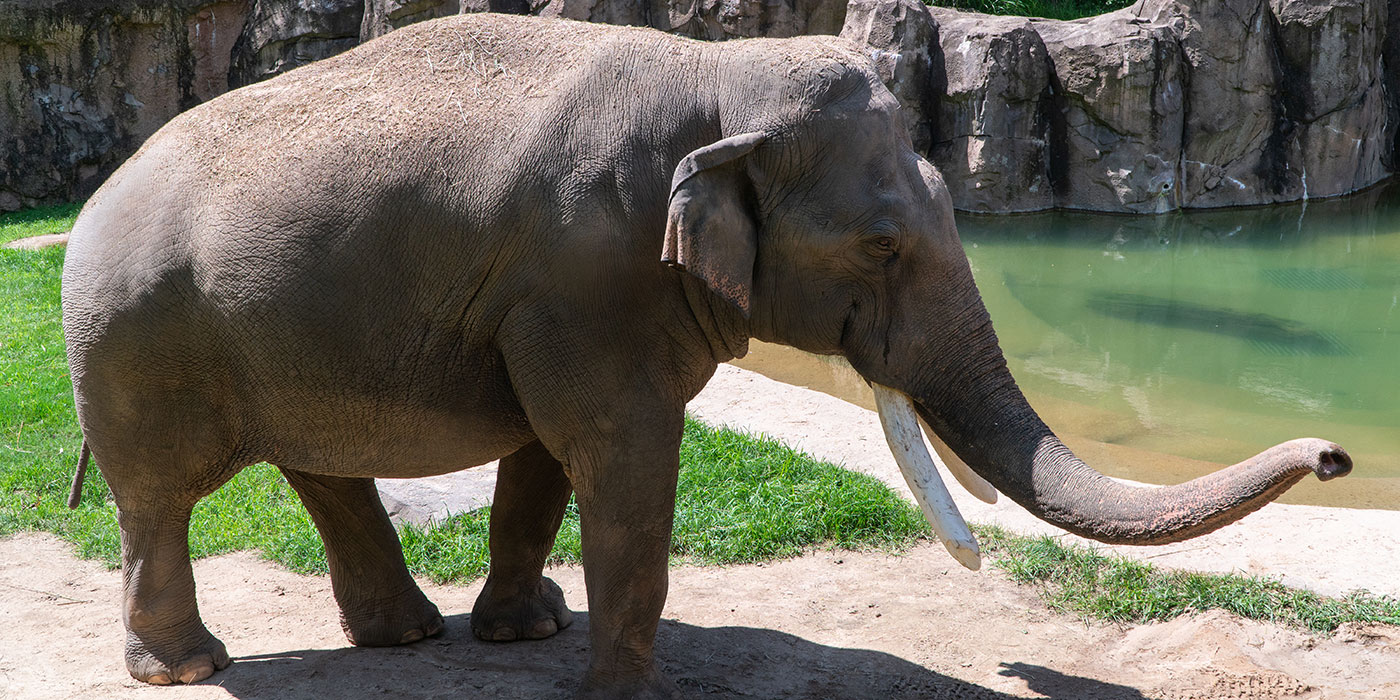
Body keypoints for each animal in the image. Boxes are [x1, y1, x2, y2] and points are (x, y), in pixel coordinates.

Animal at [60, 12, 1349, 700]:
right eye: (881, 245)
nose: (1337, 454)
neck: (715, 73)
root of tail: (91, 198)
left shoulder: (558, 299)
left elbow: (547, 460)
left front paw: (531, 637)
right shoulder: (589, 276)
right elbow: (620, 453)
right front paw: (618, 689)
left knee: (319, 471)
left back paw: (406, 640)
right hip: (140, 344)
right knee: (160, 498)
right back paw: (183, 667)